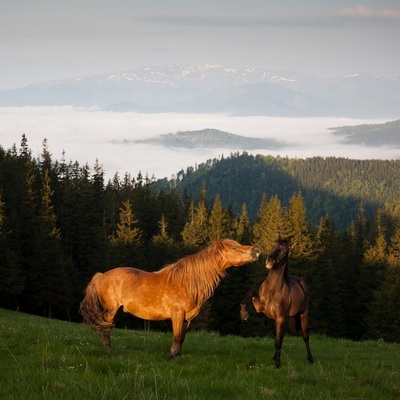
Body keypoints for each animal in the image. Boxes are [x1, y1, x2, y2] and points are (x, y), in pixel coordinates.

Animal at [79, 239, 260, 358]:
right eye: (234, 248)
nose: (256, 250)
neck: (187, 282)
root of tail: (101, 276)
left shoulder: (188, 318)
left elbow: (182, 338)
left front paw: (178, 355)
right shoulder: (177, 314)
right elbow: (177, 336)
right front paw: (172, 355)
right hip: (110, 310)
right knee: (106, 329)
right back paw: (108, 351)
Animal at [239, 238, 314, 368]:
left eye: (285, 250)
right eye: (274, 246)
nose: (269, 261)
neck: (272, 289)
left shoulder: (280, 317)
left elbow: (278, 341)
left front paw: (278, 363)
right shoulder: (261, 308)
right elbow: (250, 293)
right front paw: (244, 314)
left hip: (303, 315)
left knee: (305, 336)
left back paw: (310, 359)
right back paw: (274, 356)